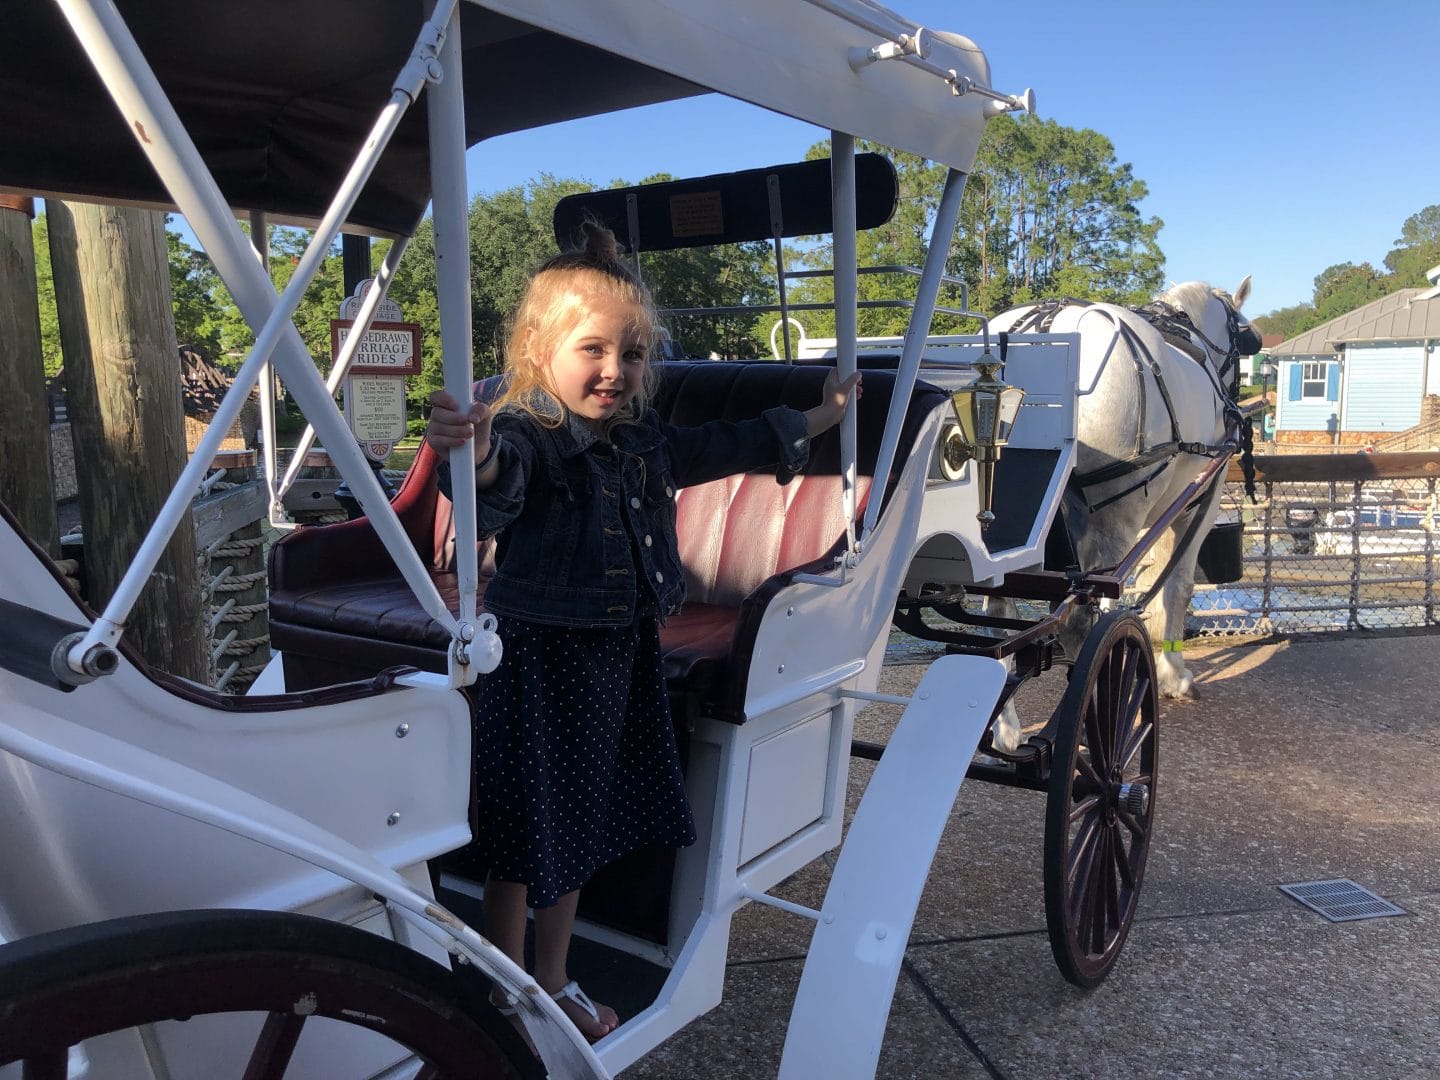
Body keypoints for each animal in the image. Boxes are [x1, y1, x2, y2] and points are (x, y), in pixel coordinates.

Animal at [984, 279, 1255, 754]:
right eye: (1243, 338)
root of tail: (1044, 326)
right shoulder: (1199, 501)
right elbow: (1176, 586)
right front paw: (1173, 674)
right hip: (1114, 521)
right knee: (1083, 623)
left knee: (1002, 618)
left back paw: (1007, 728)